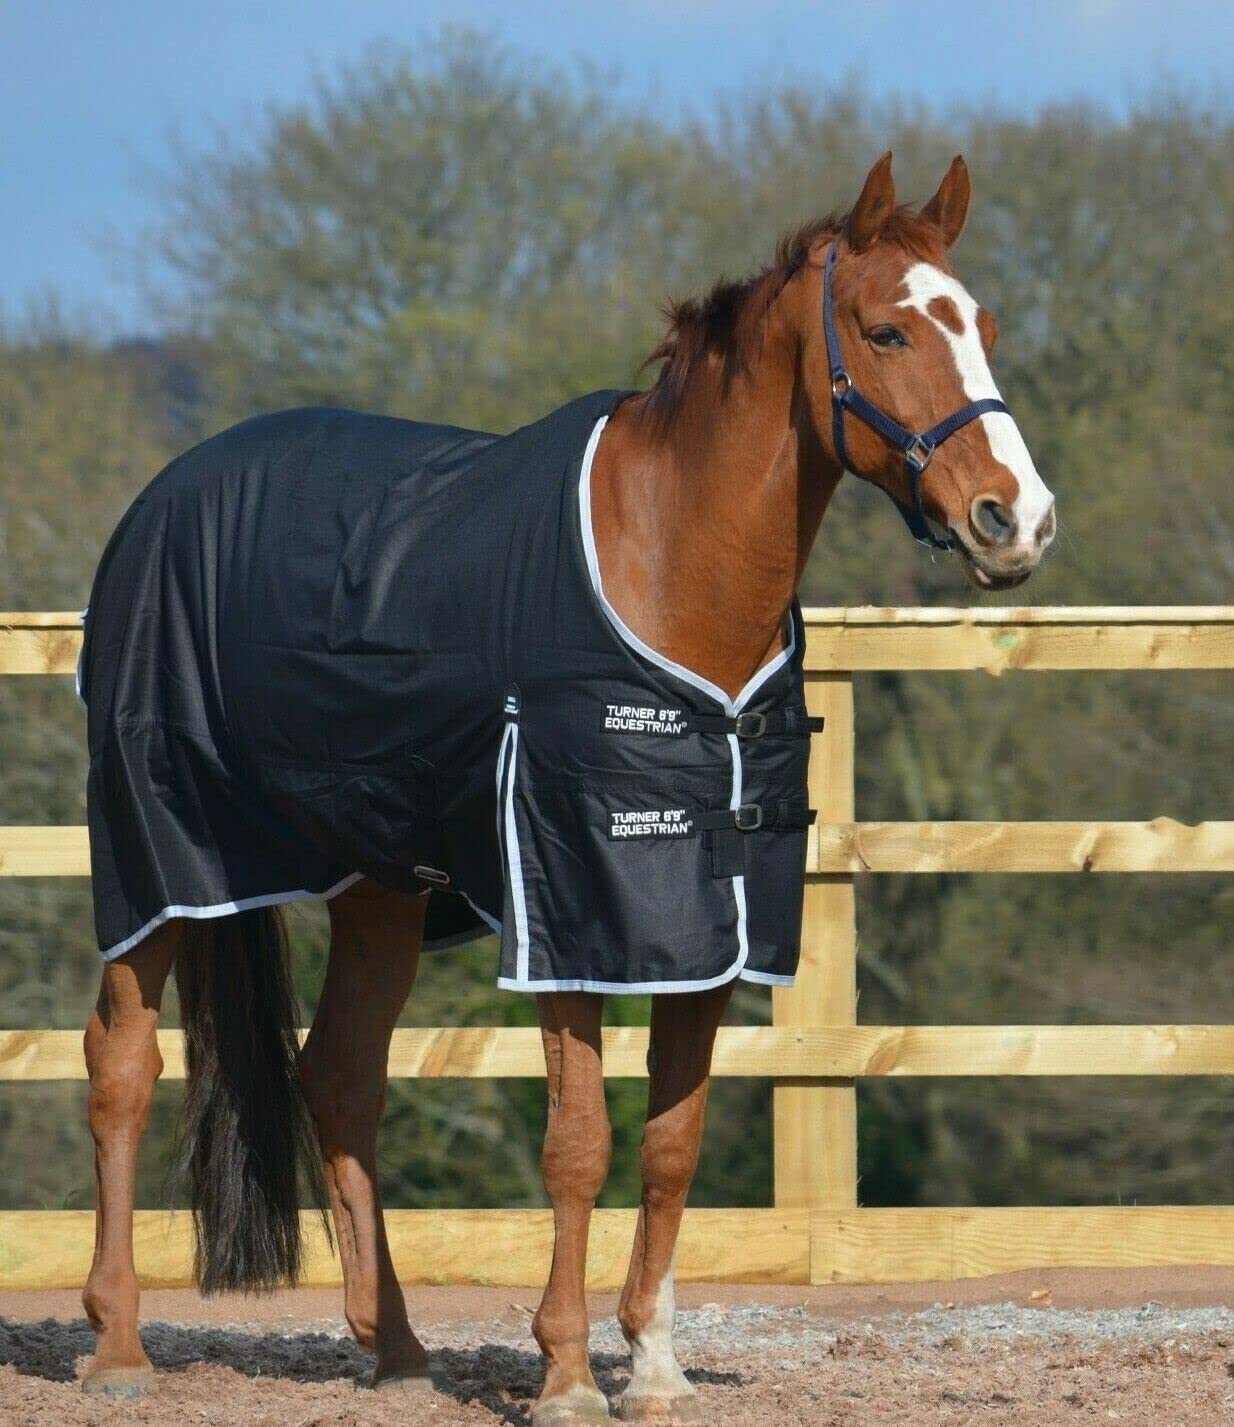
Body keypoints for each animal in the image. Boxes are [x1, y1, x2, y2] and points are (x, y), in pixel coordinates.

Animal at [76, 152, 1055, 1426]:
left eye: (981, 326)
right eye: (887, 330)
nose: (1015, 518)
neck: (667, 567)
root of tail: (160, 498)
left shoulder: (708, 920)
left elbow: (674, 1142)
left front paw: (654, 1362)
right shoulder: (570, 906)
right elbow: (581, 1142)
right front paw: (566, 1371)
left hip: (379, 884)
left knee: (338, 1077)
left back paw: (397, 1348)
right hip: (157, 857)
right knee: (121, 1068)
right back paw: (116, 1342)